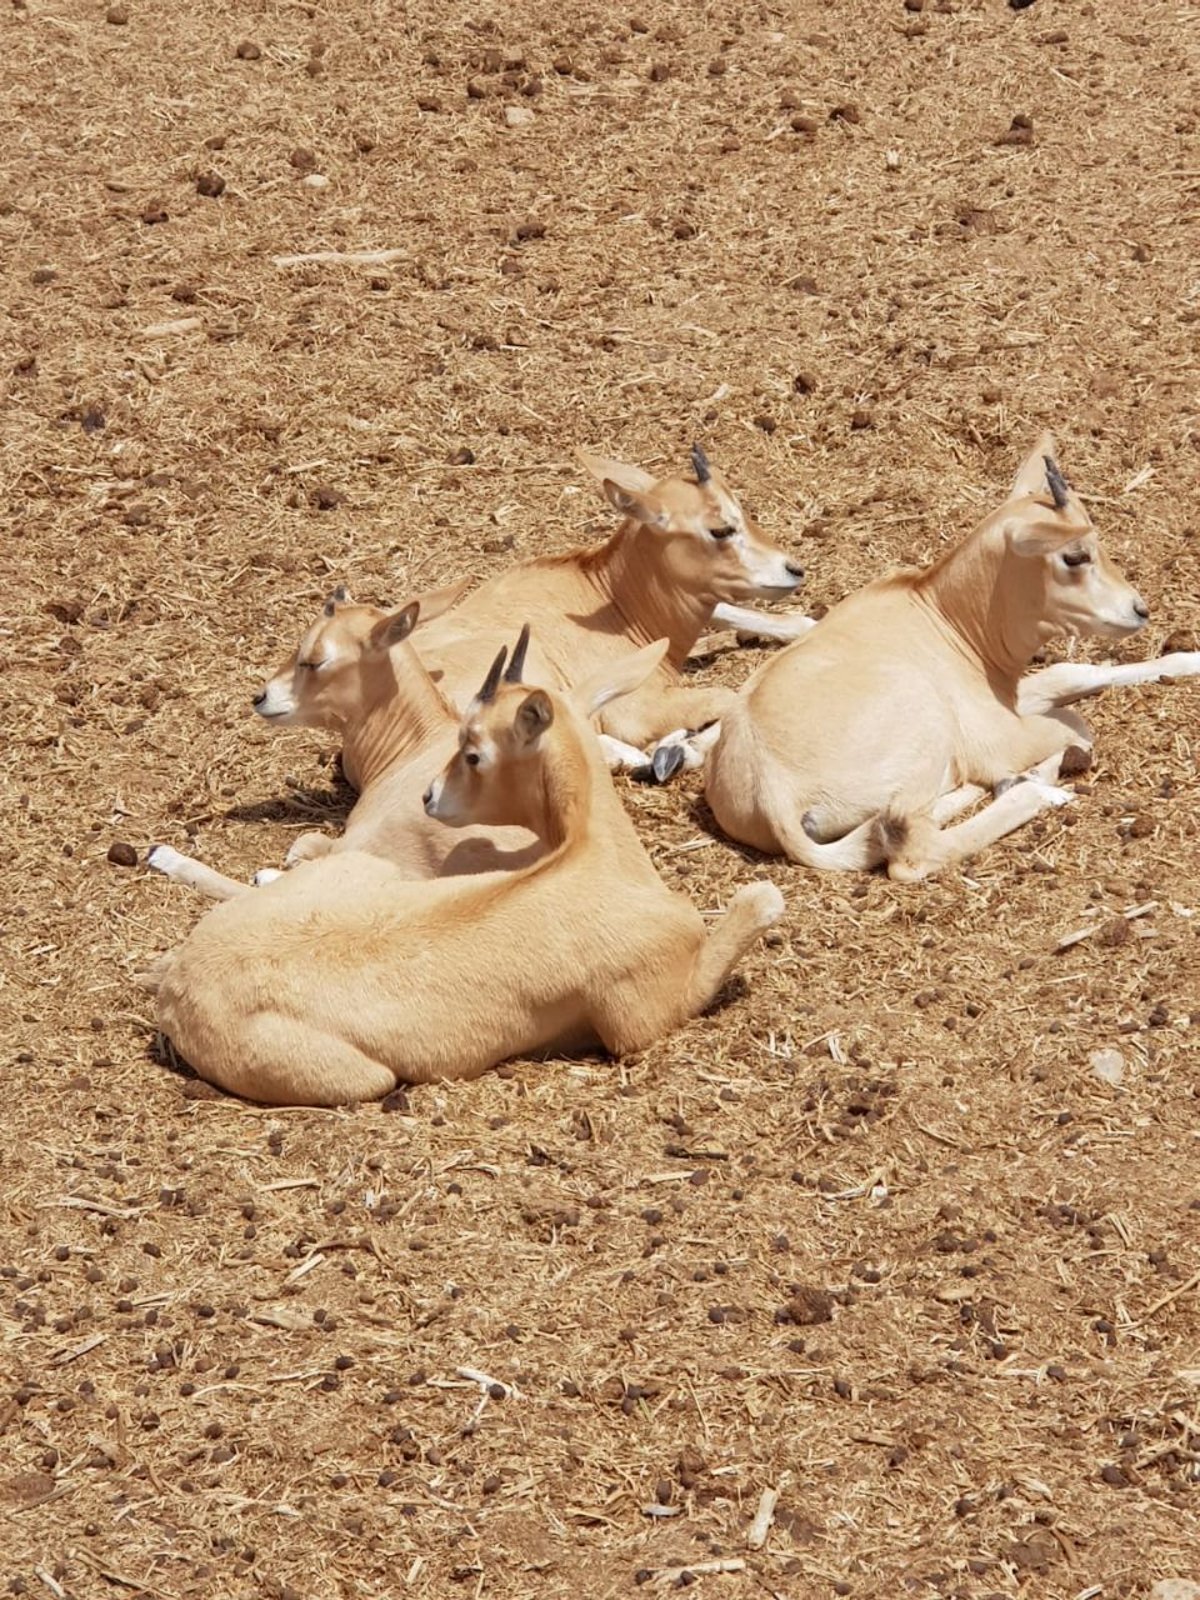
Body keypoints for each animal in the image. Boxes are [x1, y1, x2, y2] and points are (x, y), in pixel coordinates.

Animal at [416, 444, 809, 761]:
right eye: (721, 529)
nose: (793, 570)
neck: (612, 601)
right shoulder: (634, 710)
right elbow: (728, 698)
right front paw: (679, 749)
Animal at [710, 438, 1196, 883]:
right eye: (1074, 555)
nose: (1138, 610)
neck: (945, 617)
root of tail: (771, 793)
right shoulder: (999, 734)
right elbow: (1078, 725)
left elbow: (1072, 672)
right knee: (914, 852)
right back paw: (1032, 790)